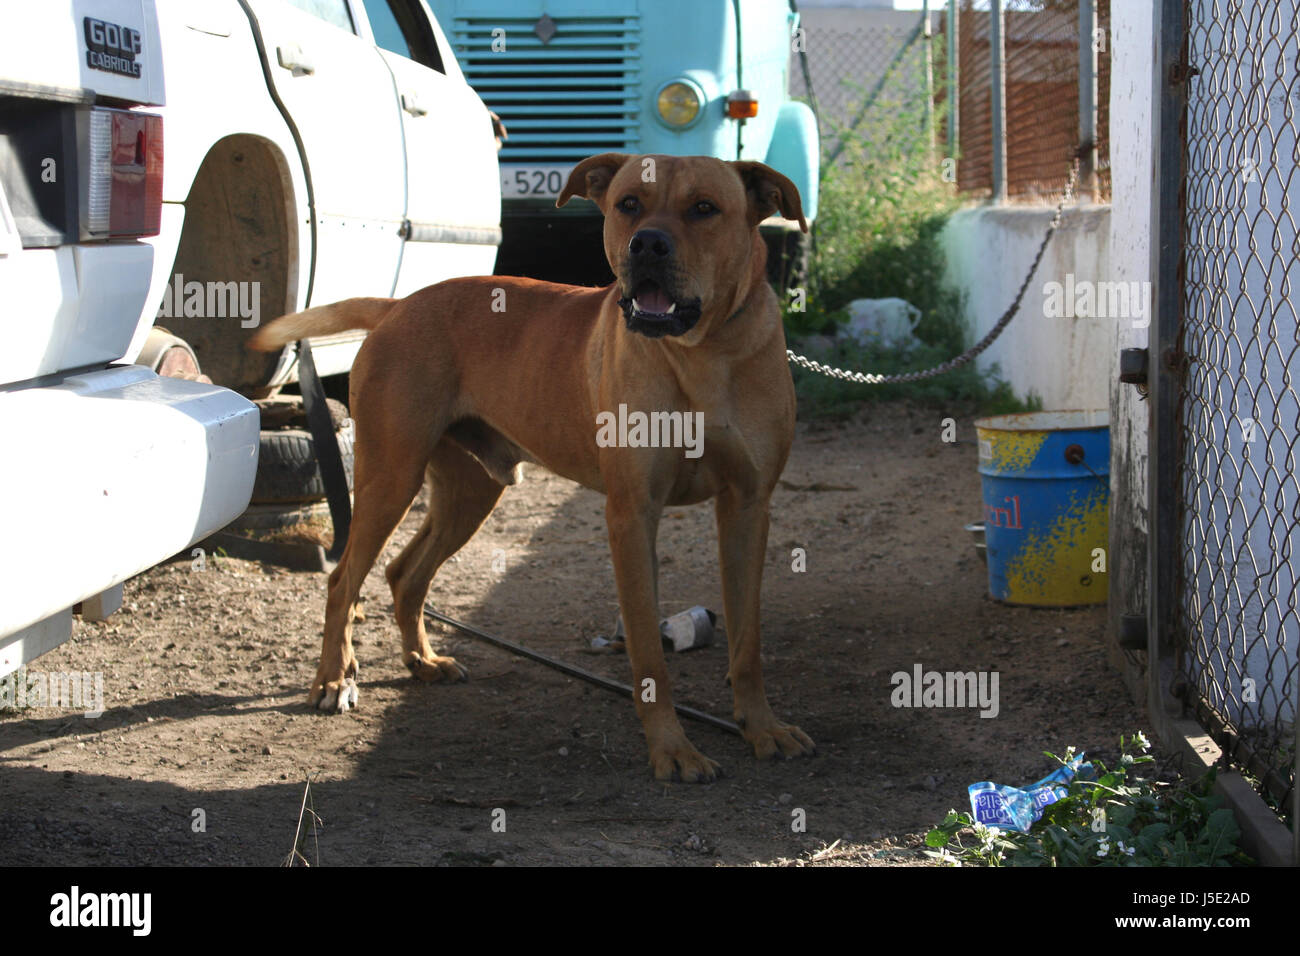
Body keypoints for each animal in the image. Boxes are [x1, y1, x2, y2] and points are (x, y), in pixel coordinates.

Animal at [250, 153, 811, 780]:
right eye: (629, 204)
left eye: (704, 208)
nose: (647, 244)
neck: (702, 352)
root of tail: (399, 306)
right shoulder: (632, 515)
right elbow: (648, 654)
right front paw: (672, 749)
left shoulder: (748, 509)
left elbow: (747, 641)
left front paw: (762, 728)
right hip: (390, 478)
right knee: (343, 579)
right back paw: (332, 680)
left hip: (469, 493)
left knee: (403, 573)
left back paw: (422, 661)